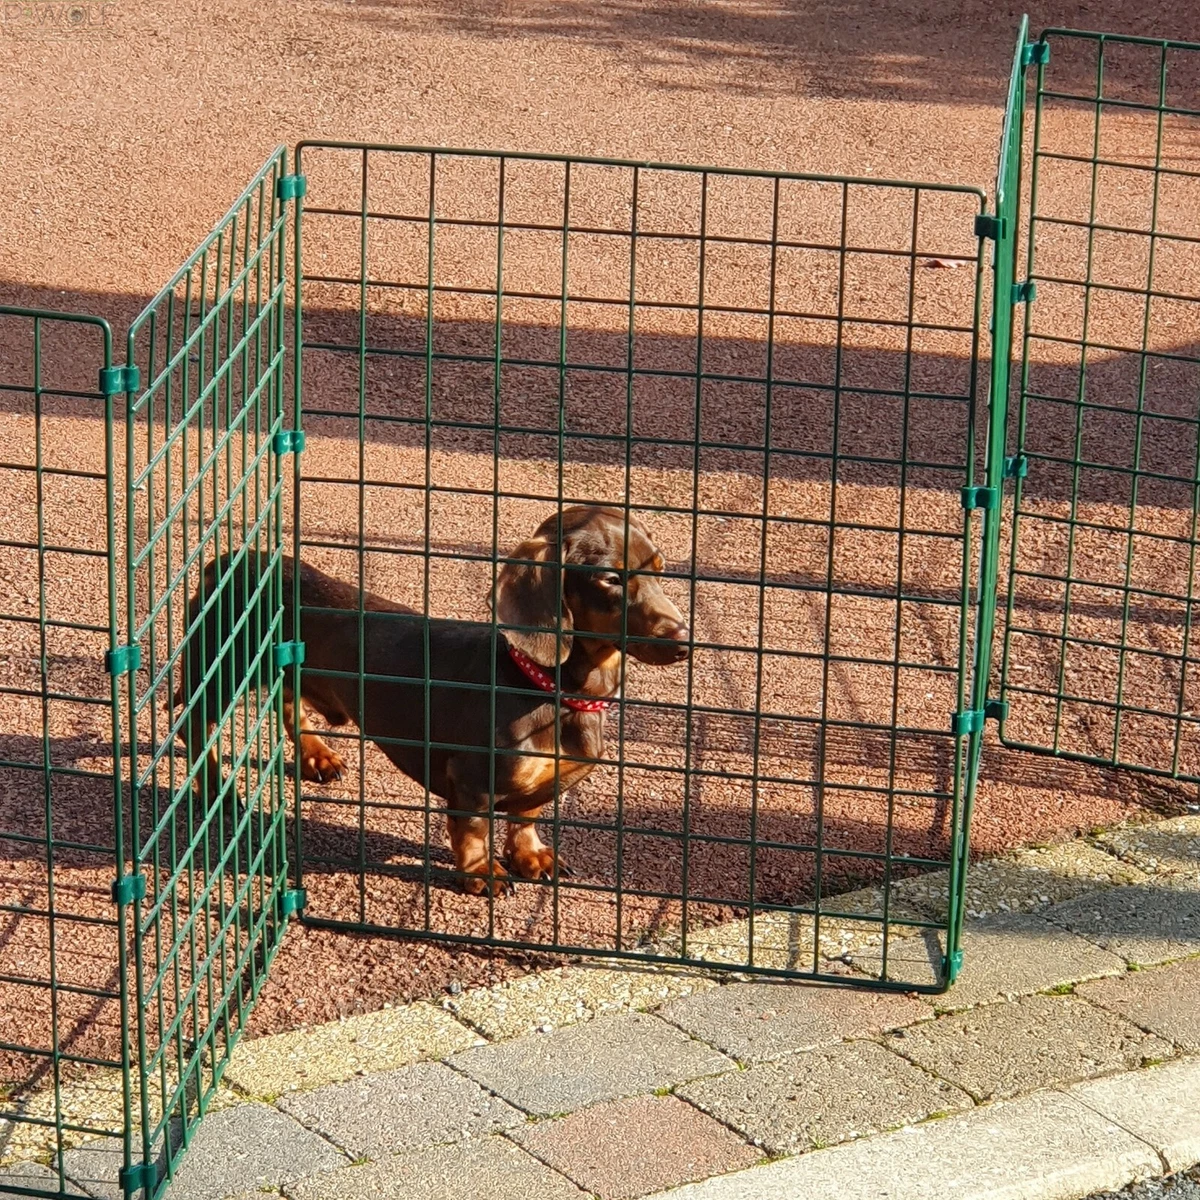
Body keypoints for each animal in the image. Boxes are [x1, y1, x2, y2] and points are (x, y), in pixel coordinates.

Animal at [174, 504, 691, 892]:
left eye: (660, 570)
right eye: (610, 579)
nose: (685, 640)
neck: (545, 691)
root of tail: (227, 561)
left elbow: (525, 816)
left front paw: (531, 856)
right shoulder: (472, 782)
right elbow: (474, 830)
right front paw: (482, 873)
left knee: (287, 701)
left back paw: (316, 754)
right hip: (220, 672)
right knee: (194, 726)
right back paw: (219, 791)